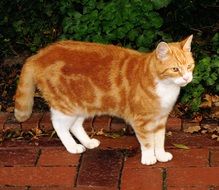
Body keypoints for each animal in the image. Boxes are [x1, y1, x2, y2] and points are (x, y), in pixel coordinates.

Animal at [14, 35, 194, 165]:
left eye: (190, 66)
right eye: (175, 69)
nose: (187, 78)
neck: (164, 86)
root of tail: (38, 55)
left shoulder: (160, 119)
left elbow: (159, 139)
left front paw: (161, 155)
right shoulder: (142, 120)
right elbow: (148, 141)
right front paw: (150, 157)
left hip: (84, 104)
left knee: (75, 125)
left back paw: (88, 143)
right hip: (67, 106)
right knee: (58, 125)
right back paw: (72, 147)